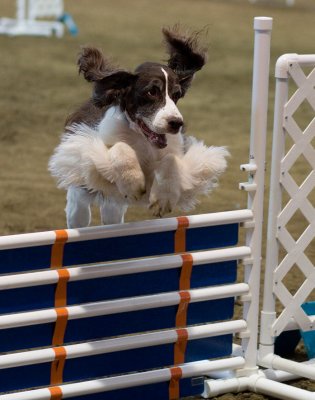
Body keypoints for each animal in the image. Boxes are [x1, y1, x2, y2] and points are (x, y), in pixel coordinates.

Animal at [48, 25, 228, 228]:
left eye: (177, 94)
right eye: (152, 92)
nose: (176, 123)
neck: (143, 139)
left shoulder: (177, 149)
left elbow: (171, 159)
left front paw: (162, 199)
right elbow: (120, 147)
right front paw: (133, 182)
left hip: (114, 207)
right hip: (80, 196)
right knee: (79, 210)